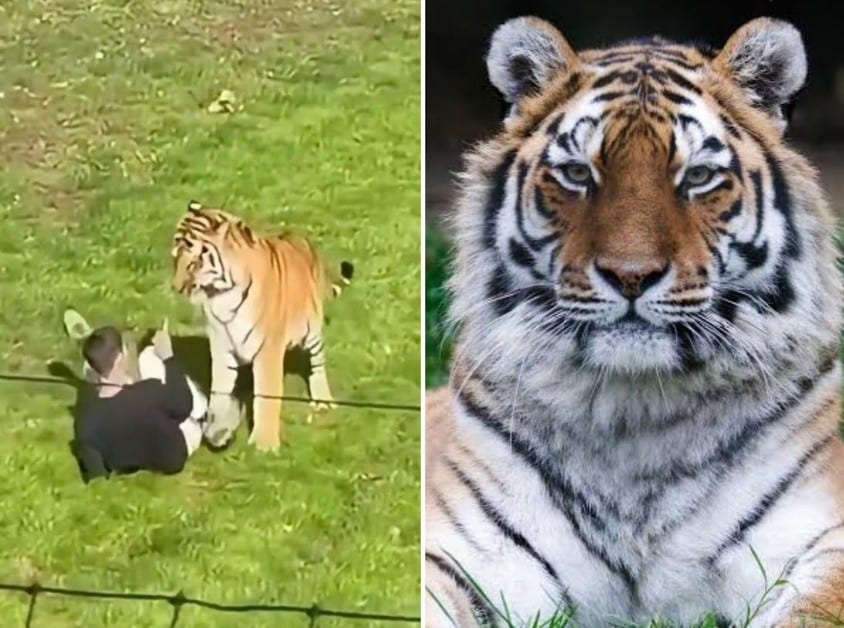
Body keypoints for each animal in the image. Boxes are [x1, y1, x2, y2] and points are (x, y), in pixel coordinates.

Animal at [171, 201, 354, 452]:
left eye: (194, 262)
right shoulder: (221, 348)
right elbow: (219, 392)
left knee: (317, 364)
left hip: (312, 332)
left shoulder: (268, 349)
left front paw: (264, 444)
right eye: (174, 257)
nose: (176, 287)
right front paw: (218, 432)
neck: (221, 297)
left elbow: (266, 396)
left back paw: (323, 400)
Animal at [426, 16, 844, 628]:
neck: (635, 412)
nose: (630, 275)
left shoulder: (823, 538)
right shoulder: (461, 551)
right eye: (578, 173)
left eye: (698, 176)